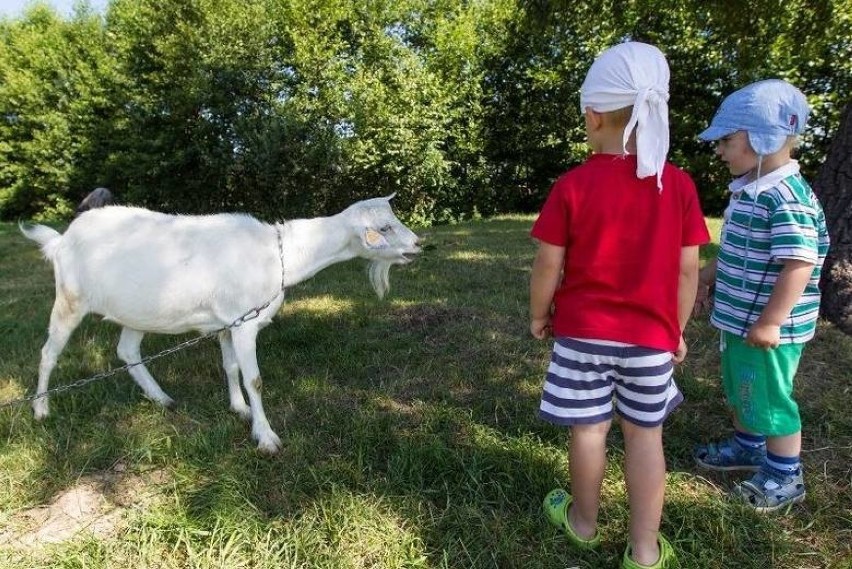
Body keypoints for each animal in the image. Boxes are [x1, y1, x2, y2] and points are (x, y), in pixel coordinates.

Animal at [19, 195, 420, 452]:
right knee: (48, 352)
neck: (279, 255)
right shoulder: (244, 324)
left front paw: (239, 409)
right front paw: (266, 437)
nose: (418, 245)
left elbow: (230, 367)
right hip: (69, 298)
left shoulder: (227, 322)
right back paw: (41, 410)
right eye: (384, 227)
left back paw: (162, 398)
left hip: (138, 310)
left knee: (127, 351)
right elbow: (255, 379)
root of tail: (61, 240)